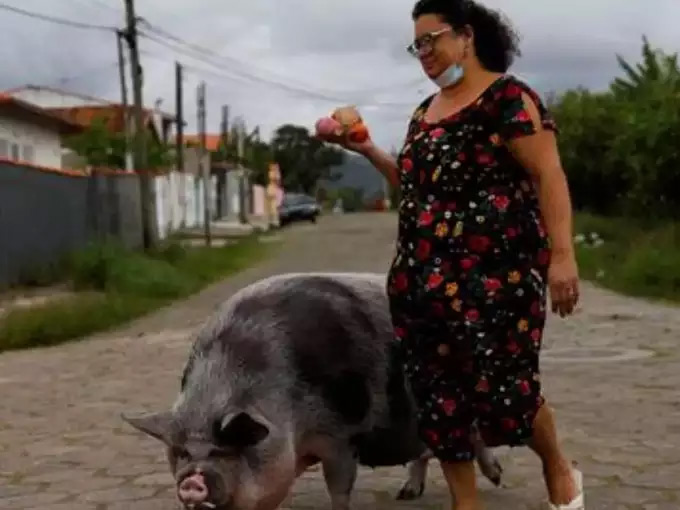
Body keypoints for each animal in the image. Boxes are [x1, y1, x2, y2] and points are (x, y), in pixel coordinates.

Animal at [122, 272, 502, 510]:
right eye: (181, 453)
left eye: (225, 450)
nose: (191, 481)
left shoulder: (342, 435)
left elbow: (339, 487)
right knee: (425, 451)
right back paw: (407, 494)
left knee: (473, 438)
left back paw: (496, 479)